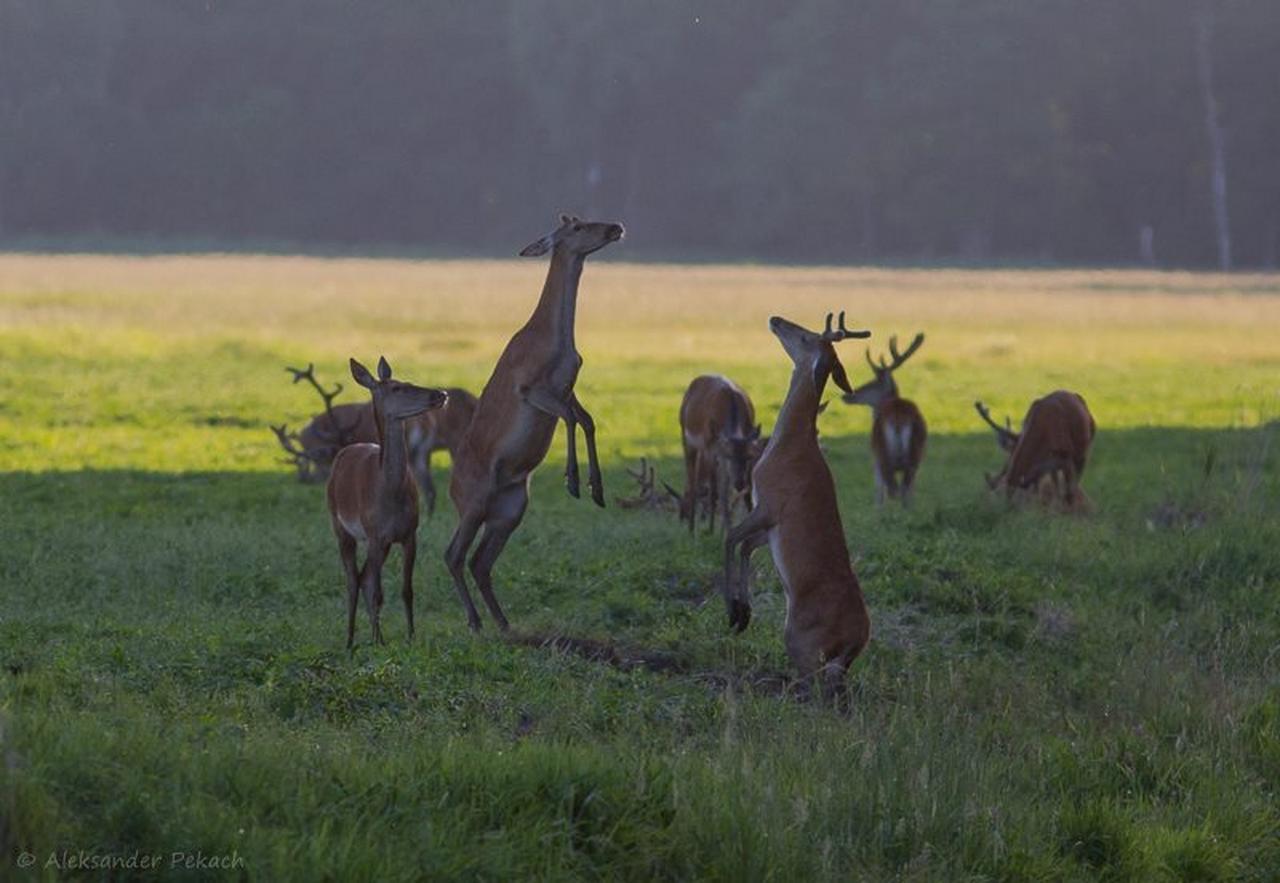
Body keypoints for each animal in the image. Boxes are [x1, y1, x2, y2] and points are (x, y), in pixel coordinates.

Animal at [325, 353, 450, 650]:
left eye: (408, 381)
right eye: (397, 388)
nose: (440, 394)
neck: (389, 494)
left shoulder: (408, 533)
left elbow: (407, 590)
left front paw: (411, 637)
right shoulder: (375, 533)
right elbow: (378, 592)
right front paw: (378, 642)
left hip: (378, 543)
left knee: (364, 577)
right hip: (340, 525)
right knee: (354, 581)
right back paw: (350, 641)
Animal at [442, 212, 622, 629]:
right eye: (576, 226)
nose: (615, 227)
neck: (556, 345)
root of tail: (452, 489)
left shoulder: (567, 387)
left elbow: (587, 420)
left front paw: (597, 489)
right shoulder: (530, 388)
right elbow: (571, 419)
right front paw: (573, 481)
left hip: (510, 509)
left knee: (480, 561)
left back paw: (503, 623)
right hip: (475, 501)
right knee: (453, 554)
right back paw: (475, 621)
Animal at [675, 373, 762, 532]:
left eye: (748, 457)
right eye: (730, 456)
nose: (739, 483)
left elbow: (734, 491)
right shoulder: (711, 449)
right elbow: (714, 491)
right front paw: (710, 530)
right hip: (686, 437)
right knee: (692, 480)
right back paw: (691, 529)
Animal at [727, 313, 875, 696]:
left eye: (807, 337)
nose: (776, 319)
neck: (789, 444)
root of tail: (857, 641)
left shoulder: (771, 502)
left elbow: (730, 537)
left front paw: (733, 611)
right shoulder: (770, 525)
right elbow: (744, 546)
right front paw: (743, 613)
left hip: (800, 636)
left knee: (815, 685)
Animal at [839, 332, 931, 506]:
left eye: (871, 383)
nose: (846, 395)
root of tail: (898, 417)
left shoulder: (874, 458)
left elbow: (879, 492)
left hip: (881, 452)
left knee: (893, 489)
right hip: (915, 455)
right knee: (905, 490)